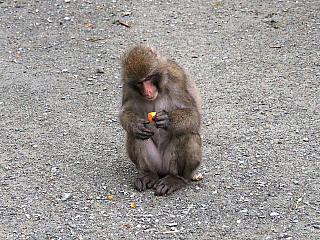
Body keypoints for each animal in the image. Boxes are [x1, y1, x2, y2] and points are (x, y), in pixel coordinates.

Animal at [119, 44, 201, 195]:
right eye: (139, 82)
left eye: (148, 78)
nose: (148, 92)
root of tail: (163, 170)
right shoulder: (127, 87)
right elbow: (125, 112)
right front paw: (135, 125)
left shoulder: (176, 77)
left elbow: (194, 115)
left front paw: (168, 120)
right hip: (156, 162)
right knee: (134, 135)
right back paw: (149, 175)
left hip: (171, 164)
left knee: (186, 134)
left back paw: (177, 178)